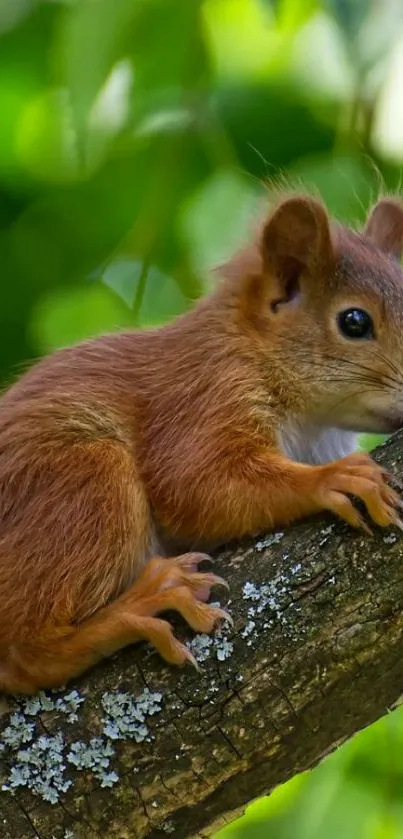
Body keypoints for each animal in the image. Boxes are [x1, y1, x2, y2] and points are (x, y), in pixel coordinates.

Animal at [0, 192, 403, 696]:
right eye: (354, 321)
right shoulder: (204, 393)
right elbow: (196, 484)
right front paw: (336, 477)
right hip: (80, 486)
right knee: (25, 657)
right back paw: (142, 607)